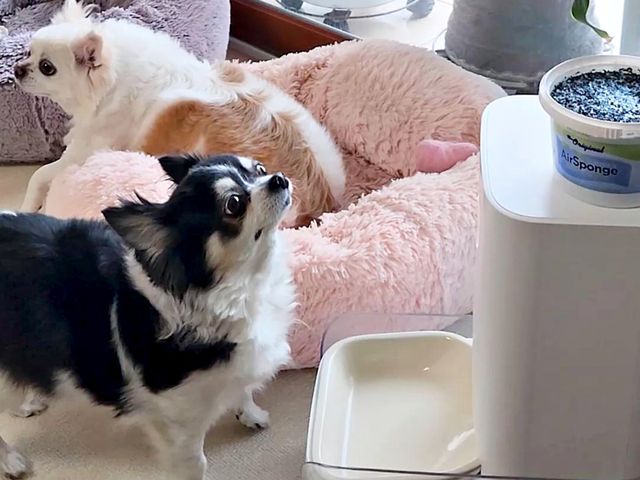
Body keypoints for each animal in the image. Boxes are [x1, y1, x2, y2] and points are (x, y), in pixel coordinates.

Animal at [0, 154, 296, 480]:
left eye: (259, 169)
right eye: (234, 204)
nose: (279, 178)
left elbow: (243, 390)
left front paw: (251, 413)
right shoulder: (180, 423)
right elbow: (196, 464)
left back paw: (29, 399)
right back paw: (11, 460)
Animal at [14, 0, 345, 226]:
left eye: (47, 67)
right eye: (27, 52)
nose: (16, 69)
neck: (117, 69)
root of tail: (320, 201)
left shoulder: (88, 149)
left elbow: (39, 176)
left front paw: (26, 207)